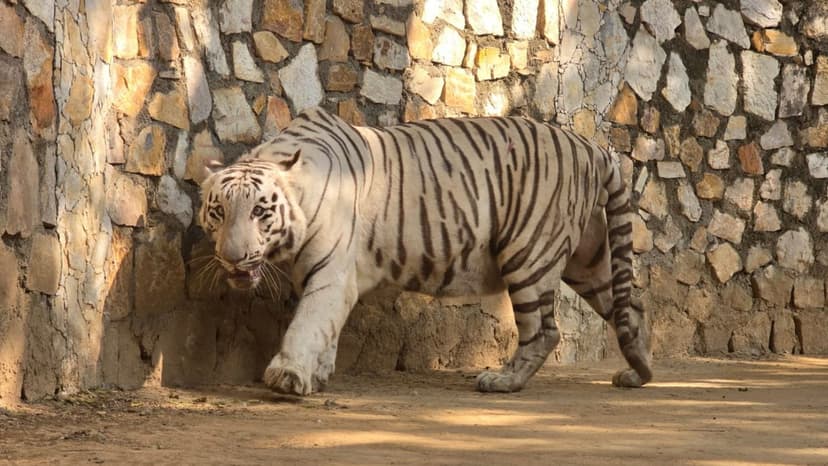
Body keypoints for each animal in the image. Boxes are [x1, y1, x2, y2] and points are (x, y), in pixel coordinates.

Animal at [197, 107, 652, 396]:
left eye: (260, 211)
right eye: (218, 212)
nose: (233, 258)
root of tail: (592, 148)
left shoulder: (330, 273)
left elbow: (307, 323)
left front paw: (288, 375)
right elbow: (325, 328)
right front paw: (319, 373)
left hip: (529, 252)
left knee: (544, 329)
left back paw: (503, 382)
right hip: (588, 261)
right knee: (630, 306)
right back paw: (639, 372)